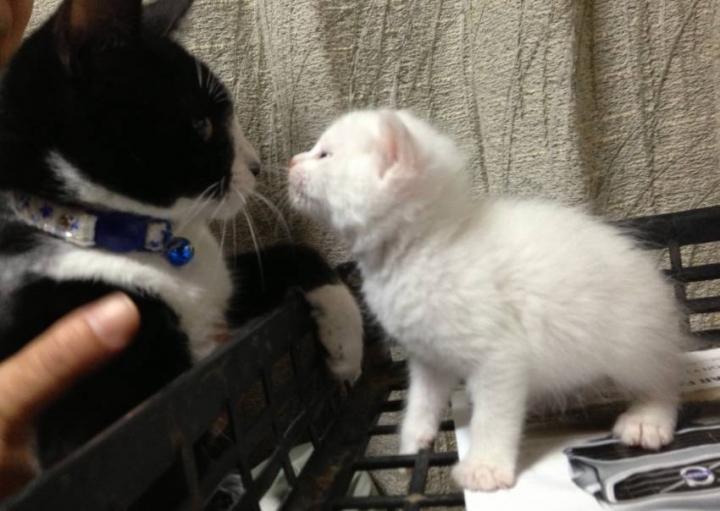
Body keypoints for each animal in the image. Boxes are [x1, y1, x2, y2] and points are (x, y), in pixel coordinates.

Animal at [287, 109, 686, 492]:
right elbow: (422, 399)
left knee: (666, 377)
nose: (291, 161)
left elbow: (493, 416)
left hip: (633, 344)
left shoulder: (501, 355)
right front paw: (413, 440)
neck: (426, 246)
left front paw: (485, 468)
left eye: (324, 154)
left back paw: (648, 418)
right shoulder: (428, 355)